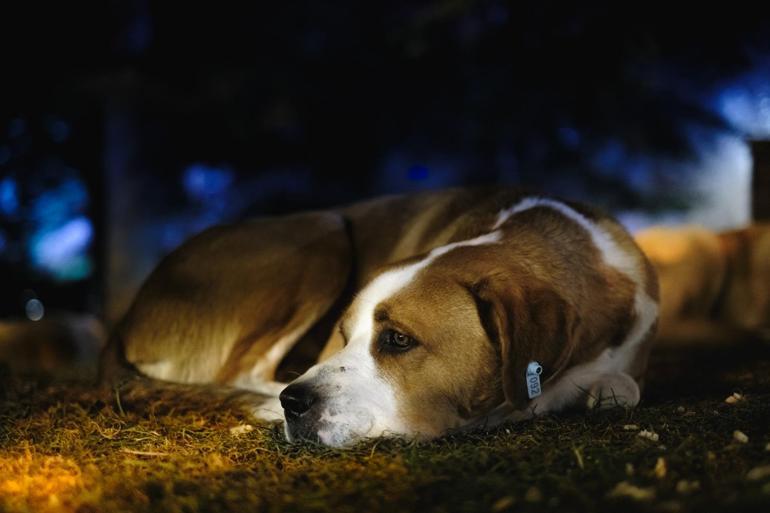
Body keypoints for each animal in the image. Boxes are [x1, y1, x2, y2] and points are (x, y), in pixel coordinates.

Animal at [99, 186, 656, 446]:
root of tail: (127, 318)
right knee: (241, 370)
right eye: (344, 335)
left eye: (398, 340)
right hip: (322, 232)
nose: (293, 403)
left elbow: (626, 386)